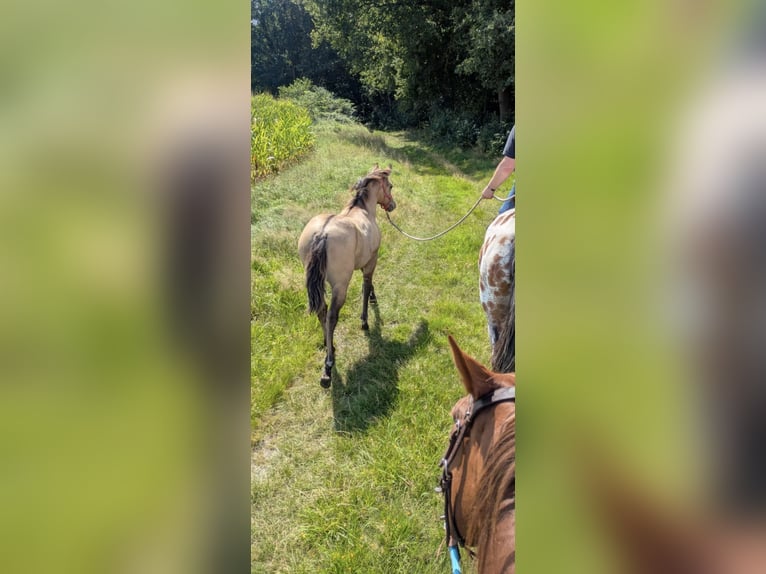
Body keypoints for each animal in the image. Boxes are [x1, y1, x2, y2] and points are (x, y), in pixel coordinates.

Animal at [298, 165, 396, 387]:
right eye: (390, 186)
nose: (392, 205)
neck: (362, 210)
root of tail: (322, 234)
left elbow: (369, 284)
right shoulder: (372, 259)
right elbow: (366, 285)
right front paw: (365, 321)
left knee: (322, 311)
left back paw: (329, 346)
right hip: (340, 286)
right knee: (331, 316)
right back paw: (328, 366)